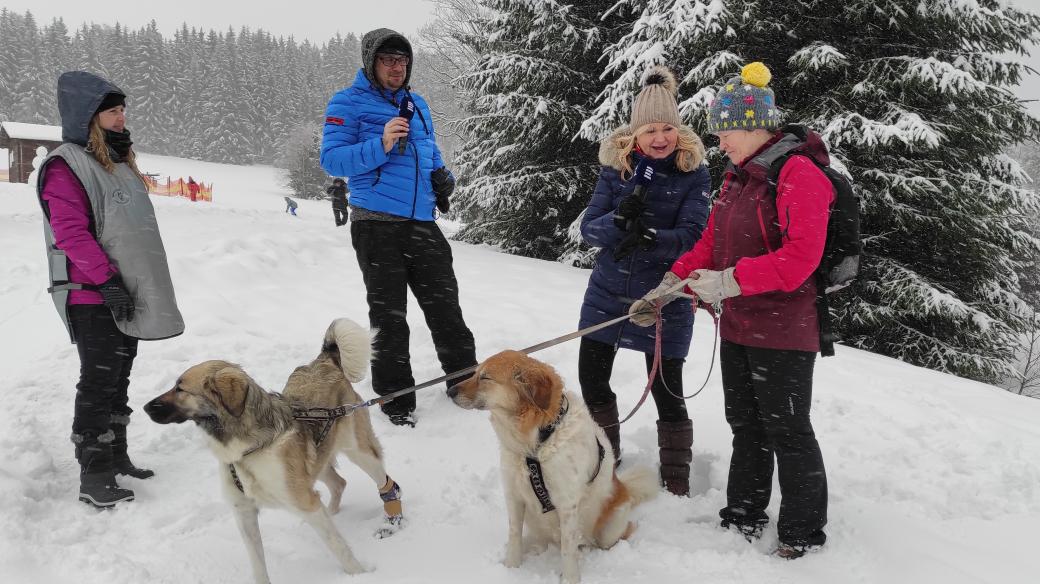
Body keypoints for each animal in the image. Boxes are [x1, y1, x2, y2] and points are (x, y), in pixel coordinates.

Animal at [145, 317, 401, 581]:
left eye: (180, 388)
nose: (144, 407)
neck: (247, 451)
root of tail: (323, 361)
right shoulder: (244, 512)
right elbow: (257, 562)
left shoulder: (305, 502)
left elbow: (338, 546)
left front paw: (360, 574)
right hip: (317, 462)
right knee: (338, 484)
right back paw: (332, 512)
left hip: (360, 452)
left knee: (386, 483)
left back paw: (391, 517)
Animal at [447, 347, 657, 577]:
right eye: (475, 373)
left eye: (485, 377)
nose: (450, 392)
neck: (537, 442)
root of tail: (625, 488)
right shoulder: (513, 495)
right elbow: (514, 536)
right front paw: (511, 569)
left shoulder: (567, 504)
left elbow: (568, 550)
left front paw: (570, 578)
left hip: (609, 528)